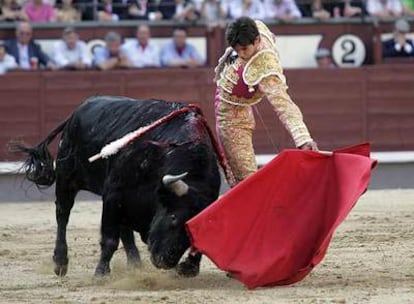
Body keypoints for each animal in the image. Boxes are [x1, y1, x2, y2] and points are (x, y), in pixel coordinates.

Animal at [15, 97, 223, 278]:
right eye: (173, 217)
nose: (166, 261)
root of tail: (77, 111)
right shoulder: (113, 194)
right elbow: (109, 239)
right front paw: (101, 273)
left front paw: (188, 268)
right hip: (66, 178)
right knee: (62, 215)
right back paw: (60, 262)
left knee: (124, 228)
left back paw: (135, 264)